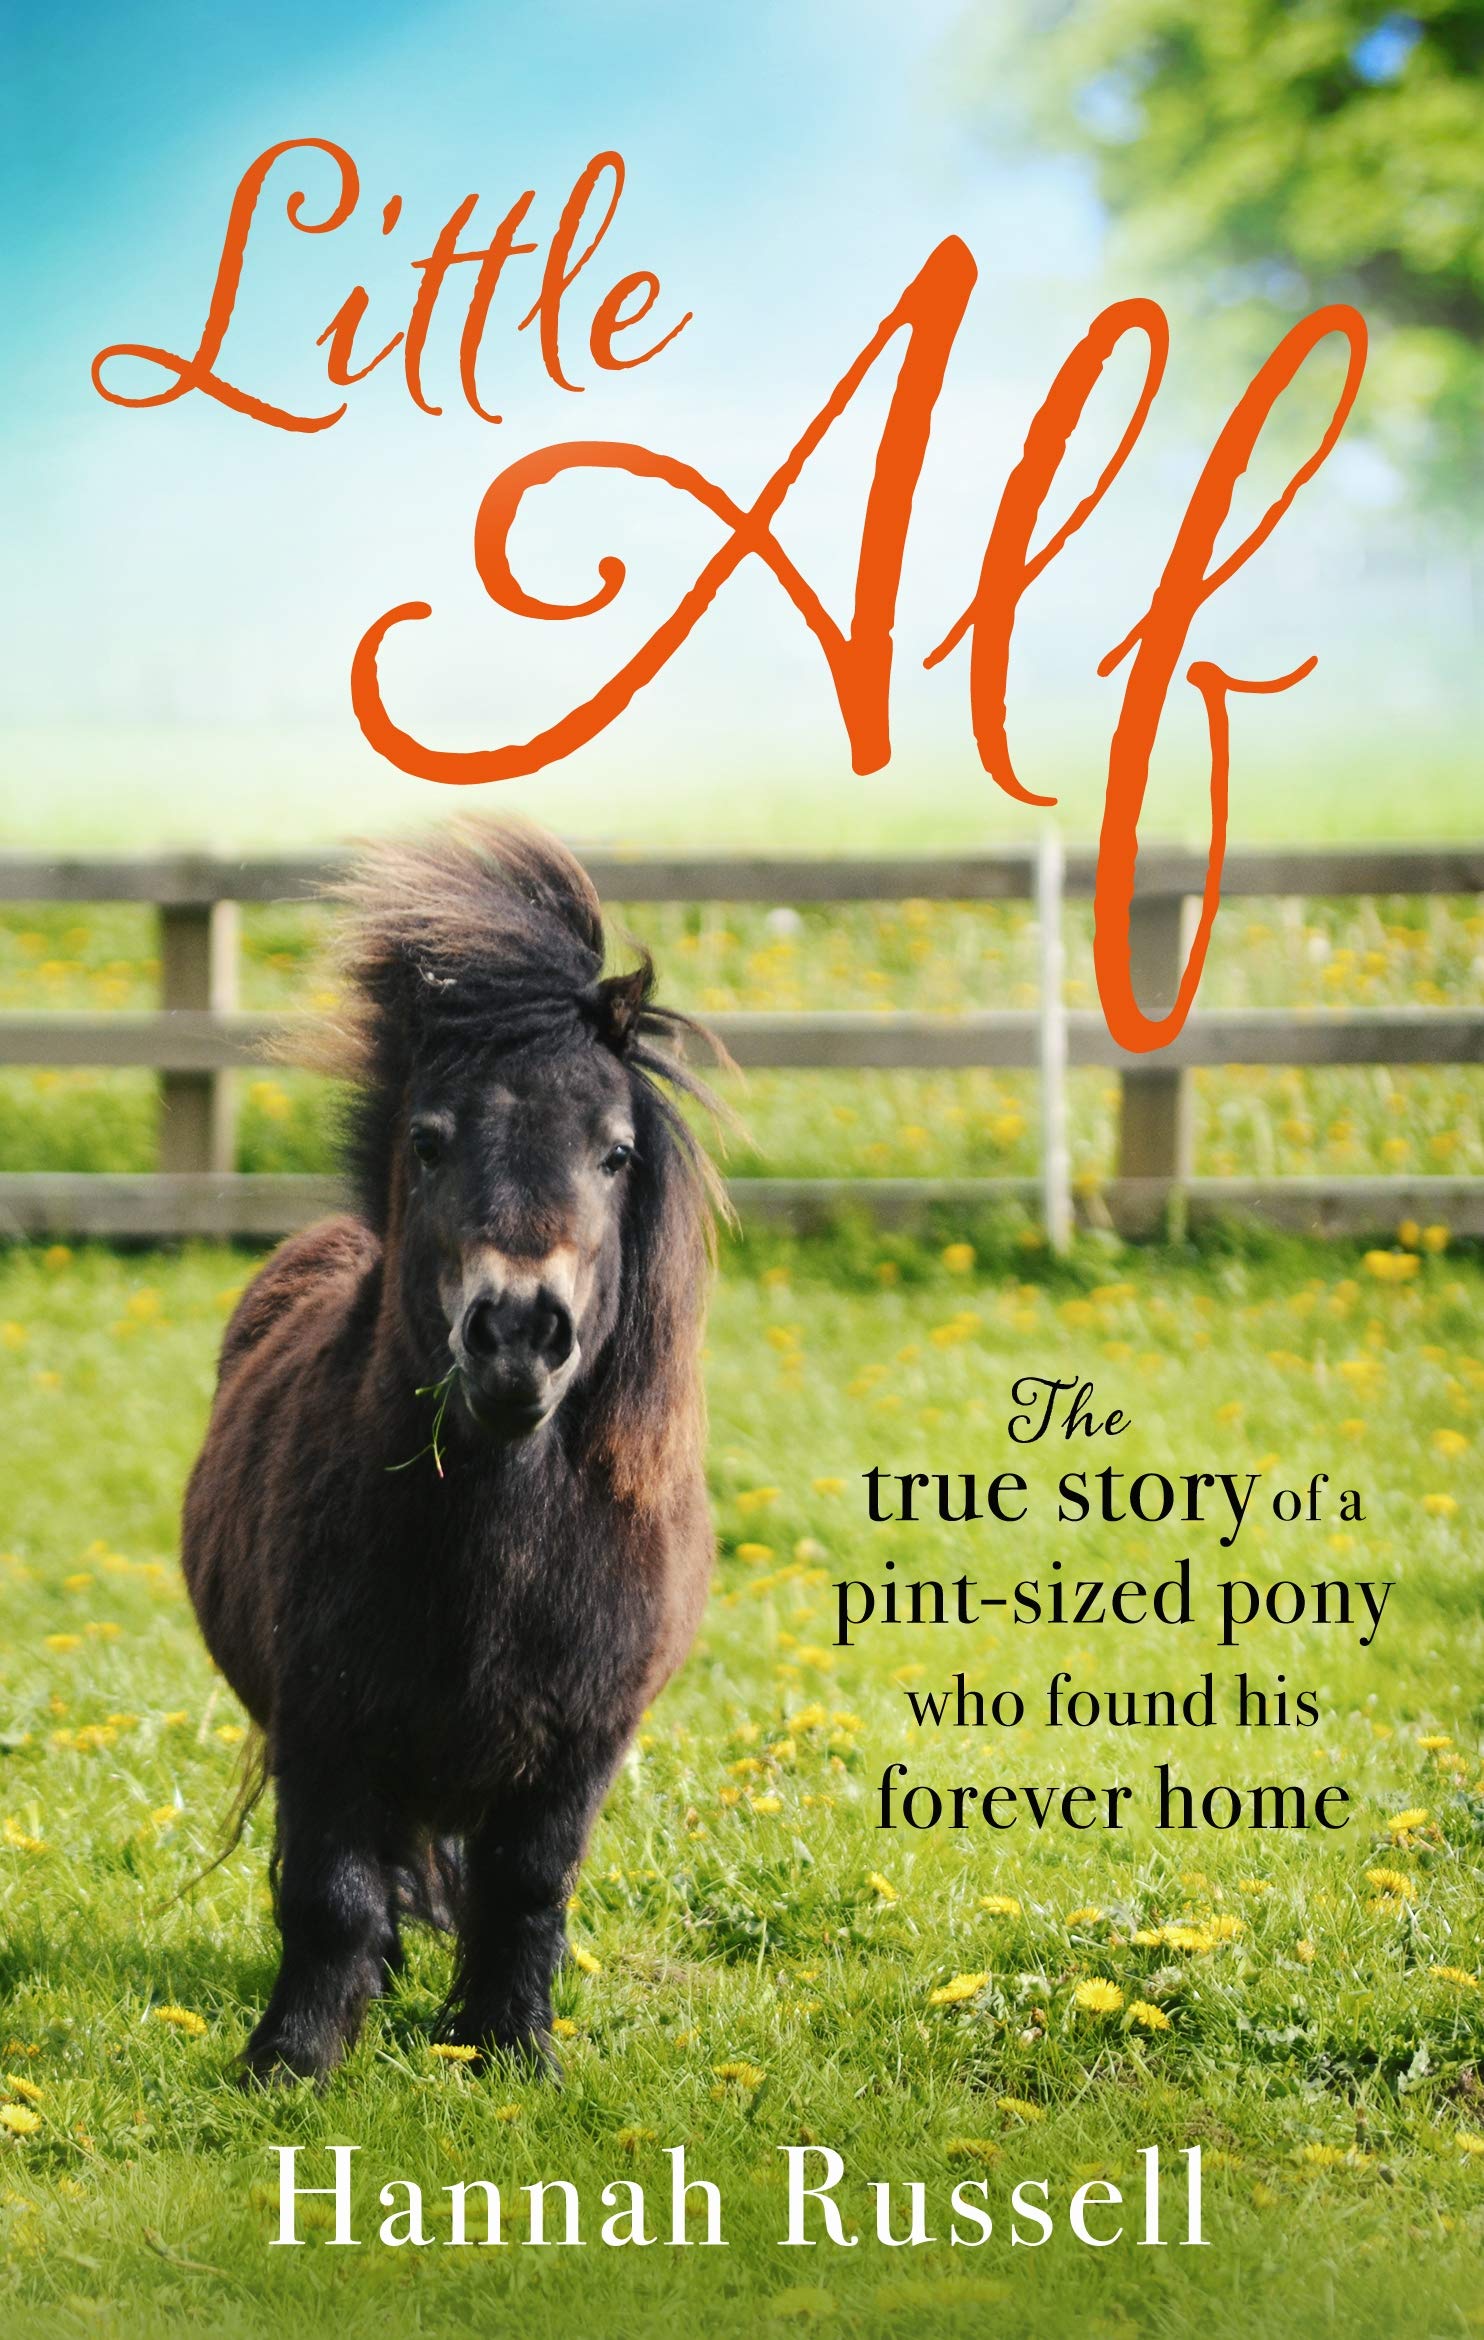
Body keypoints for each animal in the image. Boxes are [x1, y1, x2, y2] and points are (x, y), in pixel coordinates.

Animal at [181, 820, 725, 2084]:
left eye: (615, 1154)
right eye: (429, 1142)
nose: (517, 1331)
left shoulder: (582, 1745)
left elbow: (526, 1887)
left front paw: (507, 2049)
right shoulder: (321, 1730)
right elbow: (330, 1895)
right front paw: (292, 2061)